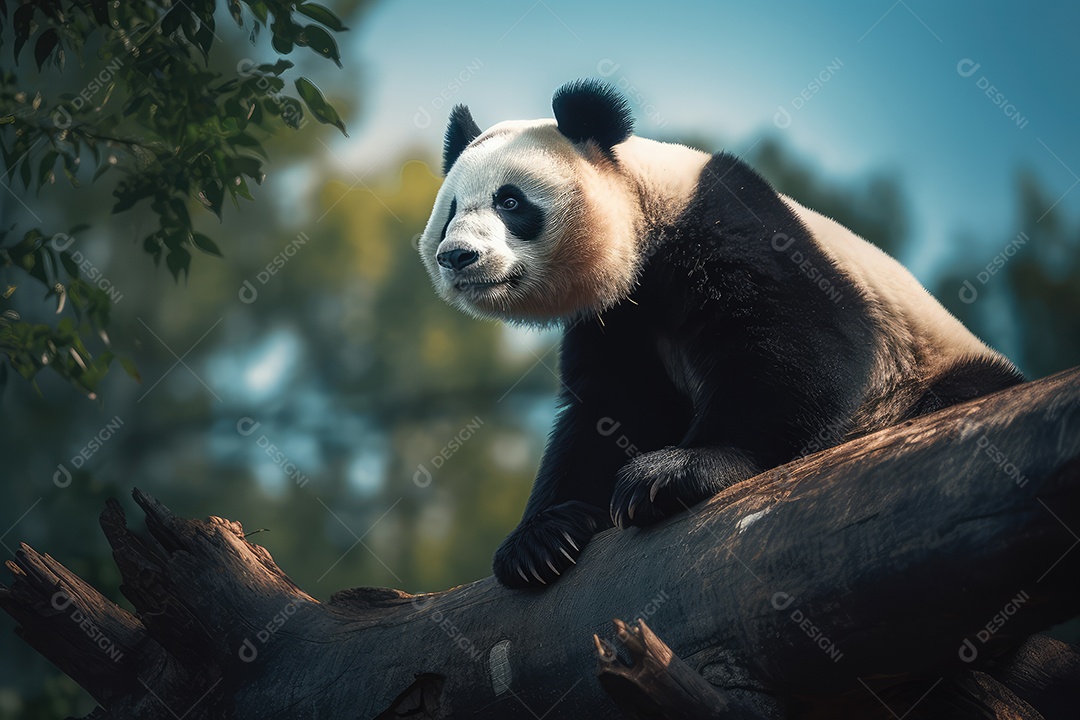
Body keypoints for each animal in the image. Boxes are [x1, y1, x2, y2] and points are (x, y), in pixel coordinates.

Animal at [418, 79, 1023, 589]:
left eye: (510, 201)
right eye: (451, 211)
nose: (457, 256)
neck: (646, 215)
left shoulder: (732, 226)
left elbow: (800, 346)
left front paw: (674, 473)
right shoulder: (616, 318)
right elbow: (611, 410)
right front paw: (540, 541)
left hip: (922, 376)